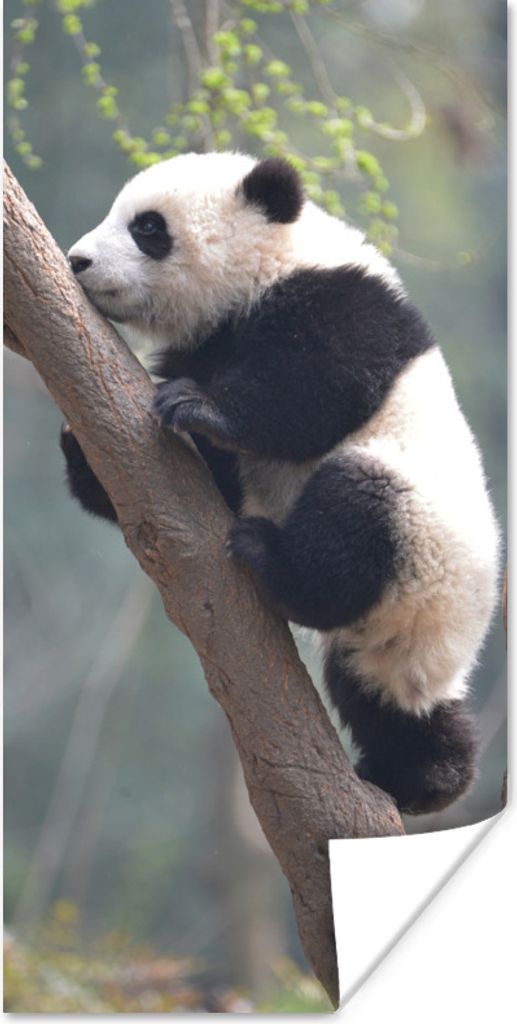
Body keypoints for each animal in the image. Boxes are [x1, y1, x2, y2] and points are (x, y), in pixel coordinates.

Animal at [63, 151, 500, 815]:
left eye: (148, 228)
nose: (77, 261)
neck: (272, 260)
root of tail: (449, 625)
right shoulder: (211, 342)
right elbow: (207, 478)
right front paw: (82, 450)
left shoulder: (344, 301)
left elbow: (314, 389)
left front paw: (202, 407)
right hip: (393, 639)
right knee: (383, 694)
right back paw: (427, 776)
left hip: (425, 534)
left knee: (355, 508)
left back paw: (272, 559)